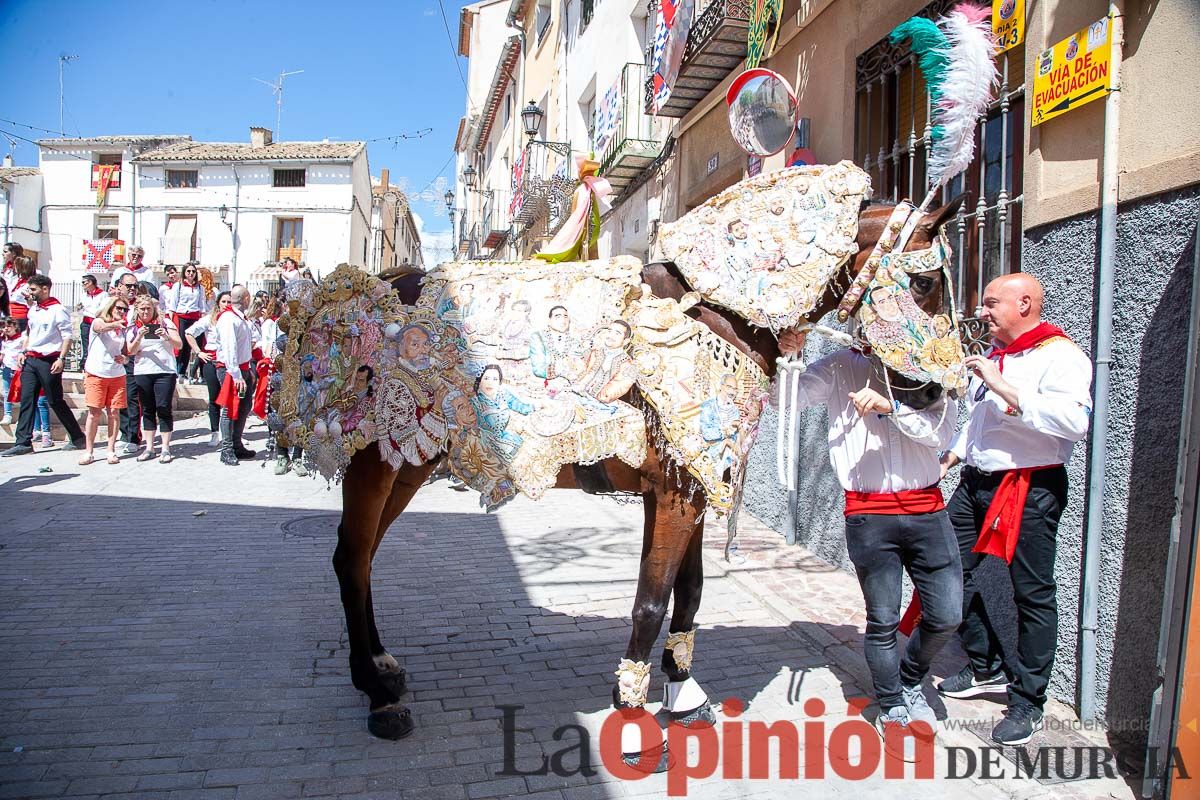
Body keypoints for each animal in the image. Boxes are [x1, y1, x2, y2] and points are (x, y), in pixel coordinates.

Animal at [328, 196, 964, 748]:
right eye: (926, 283)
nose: (934, 391)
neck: (719, 313)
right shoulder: (678, 494)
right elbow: (651, 602)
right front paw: (632, 715)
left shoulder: (691, 488)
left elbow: (689, 592)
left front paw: (681, 691)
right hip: (373, 464)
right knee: (352, 558)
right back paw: (378, 694)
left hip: (408, 465)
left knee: (363, 557)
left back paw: (380, 665)